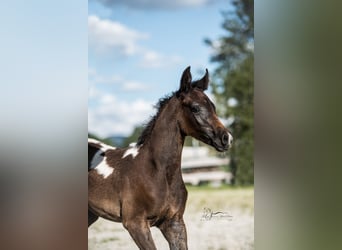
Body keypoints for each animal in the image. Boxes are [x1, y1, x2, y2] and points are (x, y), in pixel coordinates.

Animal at [88, 67, 232, 250]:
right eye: (195, 108)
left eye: (213, 106)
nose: (226, 138)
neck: (156, 172)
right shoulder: (135, 224)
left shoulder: (174, 223)